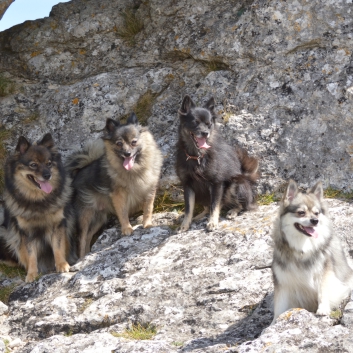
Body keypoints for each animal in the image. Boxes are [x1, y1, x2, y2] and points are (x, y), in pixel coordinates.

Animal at [0, 133, 75, 282]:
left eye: (49, 163)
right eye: (33, 165)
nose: (47, 175)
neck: (38, 201)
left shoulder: (57, 225)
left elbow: (58, 247)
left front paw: (62, 265)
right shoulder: (26, 232)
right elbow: (31, 255)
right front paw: (32, 274)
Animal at [66, 112, 162, 256]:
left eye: (134, 142)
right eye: (119, 143)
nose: (127, 153)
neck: (135, 170)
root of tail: (78, 173)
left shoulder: (149, 190)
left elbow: (148, 209)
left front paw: (147, 224)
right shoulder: (119, 196)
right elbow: (122, 213)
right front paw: (127, 229)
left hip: (99, 218)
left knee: (88, 237)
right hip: (85, 215)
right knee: (82, 239)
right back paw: (82, 257)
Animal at [175, 94, 258, 231]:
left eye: (209, 124)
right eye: (195, 122)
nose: (205, 133)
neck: (197, 156)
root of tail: (246, 176)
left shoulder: (216, 183)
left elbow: (215, 205)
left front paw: (213, 222)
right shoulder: (187, 185)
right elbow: (189, 208)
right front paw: (185, 224)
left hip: (236, 183)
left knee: (242, 206)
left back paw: (233, 211)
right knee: (207, 206)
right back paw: (199, 215)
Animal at [270, 180, 350, 324]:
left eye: (316, 213)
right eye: (301, 212)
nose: (315, 221)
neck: (302, 246)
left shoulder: (324, 273)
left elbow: (323, 291)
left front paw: (323, 309)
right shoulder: (283, 282)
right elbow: (279, 305)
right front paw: (274, 323)